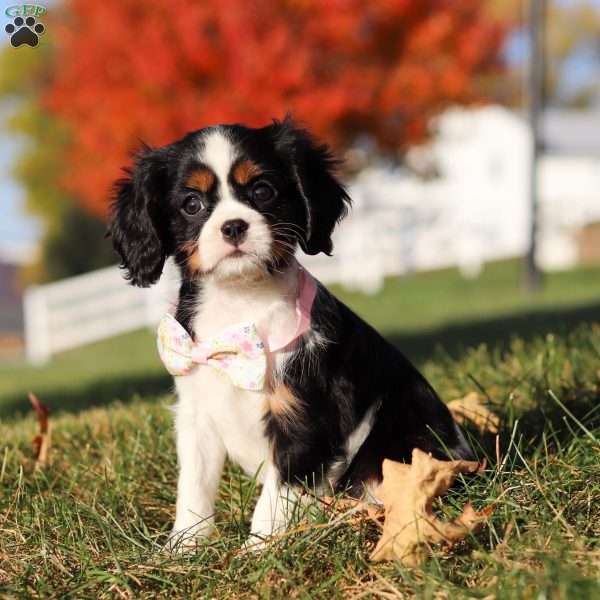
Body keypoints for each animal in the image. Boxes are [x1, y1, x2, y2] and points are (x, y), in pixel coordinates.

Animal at [110, 119, 472, 552]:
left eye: (263, 191)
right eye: (192, 204)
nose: (234, 226)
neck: (240, 302)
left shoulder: (302, 418)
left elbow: (277, 495)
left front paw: (258, 552)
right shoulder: (197, 416)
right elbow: (194, 486)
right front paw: (183, 549)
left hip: (401, 438)